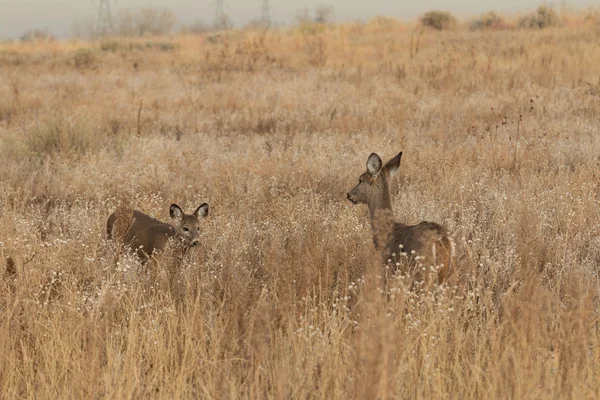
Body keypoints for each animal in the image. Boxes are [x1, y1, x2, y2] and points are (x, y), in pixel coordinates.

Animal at [346, 151, 454, 284]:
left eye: (360, 180)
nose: (349, 194)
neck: (387, 229)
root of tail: (441, 239)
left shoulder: (388, 266)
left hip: (422, 268)